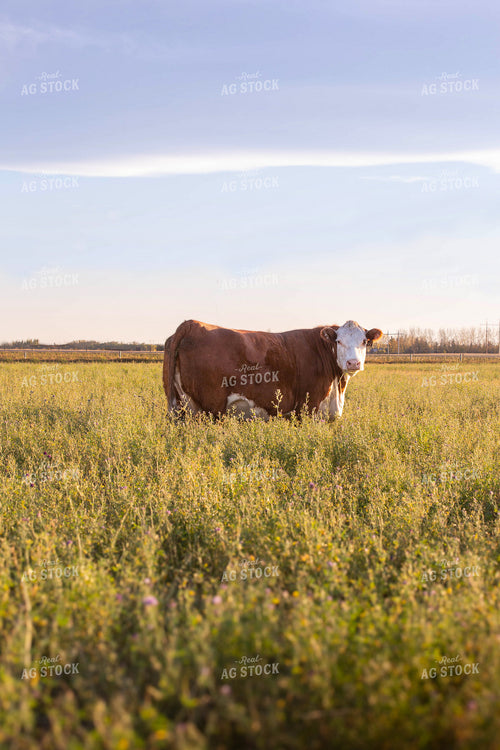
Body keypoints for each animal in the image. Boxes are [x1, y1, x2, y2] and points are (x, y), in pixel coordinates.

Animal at [163, 319, 383, 421]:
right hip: (210, 409)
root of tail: (191, 324)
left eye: (364, 341)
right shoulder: (307, 408)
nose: (353, 363)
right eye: (339, 341)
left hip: (181, 406)